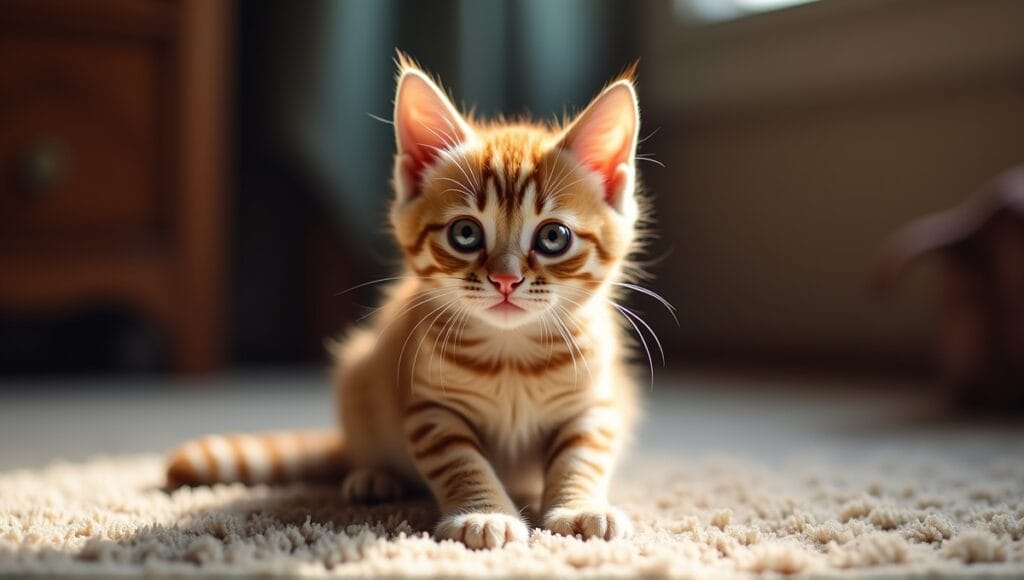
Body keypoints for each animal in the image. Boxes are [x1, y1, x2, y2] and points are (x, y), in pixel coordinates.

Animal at [166, 54, 647, 549]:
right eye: (465, 233)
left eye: (553, 237)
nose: (506, 279)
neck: (511, 356)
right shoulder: (430, 409)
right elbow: (460, 462)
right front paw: (484, 513)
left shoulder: (596, 403)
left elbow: (582, 456)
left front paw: (579, 506)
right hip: (358, 376)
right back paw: (373, 477)